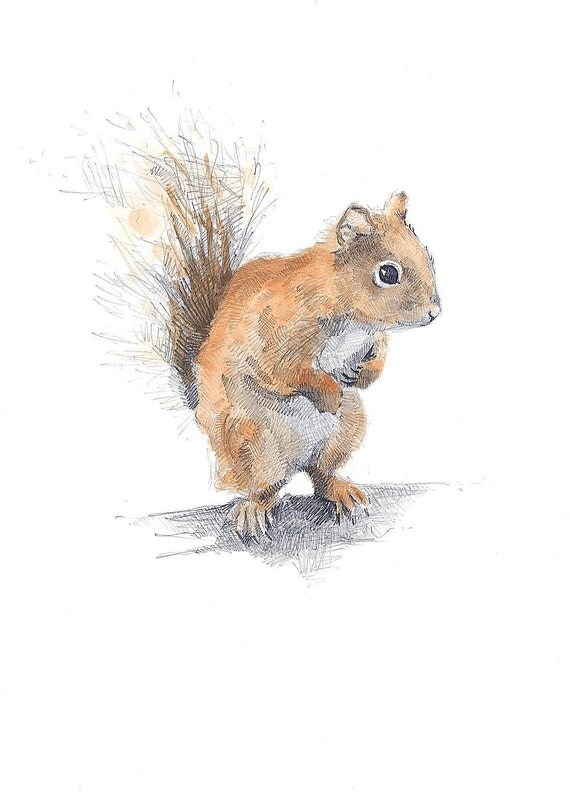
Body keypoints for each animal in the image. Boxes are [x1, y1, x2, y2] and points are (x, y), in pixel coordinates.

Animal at [89, 115, 440, 538]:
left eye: (428, 256)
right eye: (388, 273)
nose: (435, 312)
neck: (348, 312)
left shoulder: (373, 337)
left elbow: (378, 355)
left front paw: (366, 373)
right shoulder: (276, 331)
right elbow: (287, 371)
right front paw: (327, 392)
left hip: (346, 429)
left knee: (319, 472)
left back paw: (339, 490)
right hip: (253, 443)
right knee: (262, 486)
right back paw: (254, 510)